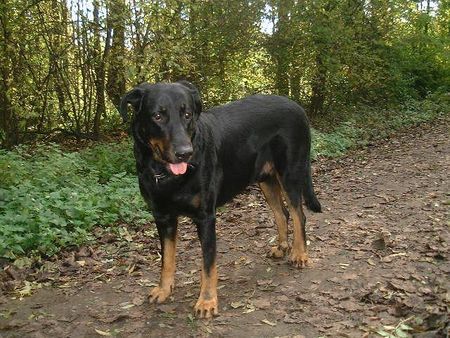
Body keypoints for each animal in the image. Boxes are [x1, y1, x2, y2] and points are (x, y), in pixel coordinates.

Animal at [121, 80, 322, 318]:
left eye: (187, 114)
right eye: (158, 116)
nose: (185, 153)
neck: (165, 173)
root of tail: (297, 107)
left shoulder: (206, 217)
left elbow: (208, 265)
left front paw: (207, 301)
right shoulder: (162, 217)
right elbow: (166, 259)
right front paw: (164, 289)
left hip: (290, 173)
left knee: (299, 214)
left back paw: (300, 254)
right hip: (265, 178)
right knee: (281, 213)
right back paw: (282, 247)